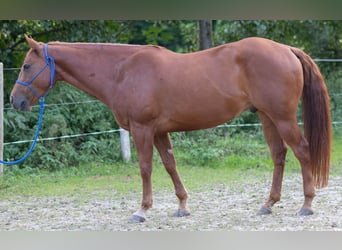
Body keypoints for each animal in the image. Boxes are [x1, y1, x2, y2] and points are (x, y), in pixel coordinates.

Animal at [10, 35, 332, 223]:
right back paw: (268, 204)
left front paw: (141, 210)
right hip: (266, 117)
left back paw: (307, 205)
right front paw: (183, 206)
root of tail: (286, 49)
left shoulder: (142, 129)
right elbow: (169, 165)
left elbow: (145, 168)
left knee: (302, 151)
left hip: (282, 117)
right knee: (279, 155)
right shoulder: (159, 131)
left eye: (26, 66)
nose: (15, 100)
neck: (122, 71)